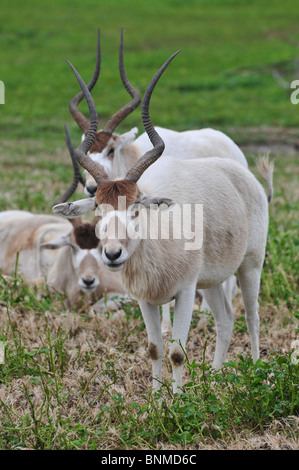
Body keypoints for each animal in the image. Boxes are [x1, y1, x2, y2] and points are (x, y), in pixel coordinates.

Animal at [53, 51, 274, 392]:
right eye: (98, 209)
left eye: (135, 208)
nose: (112, 254)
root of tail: (241, 172)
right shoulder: (146, 299)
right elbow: (155, 348)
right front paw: (157, 397)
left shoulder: (184, 293)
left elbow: (177, 352)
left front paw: (179, 399)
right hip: (210, 281)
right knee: (225, 319)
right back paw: (215, 378)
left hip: (251, 264)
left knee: (252, 316)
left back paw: (255, 373)